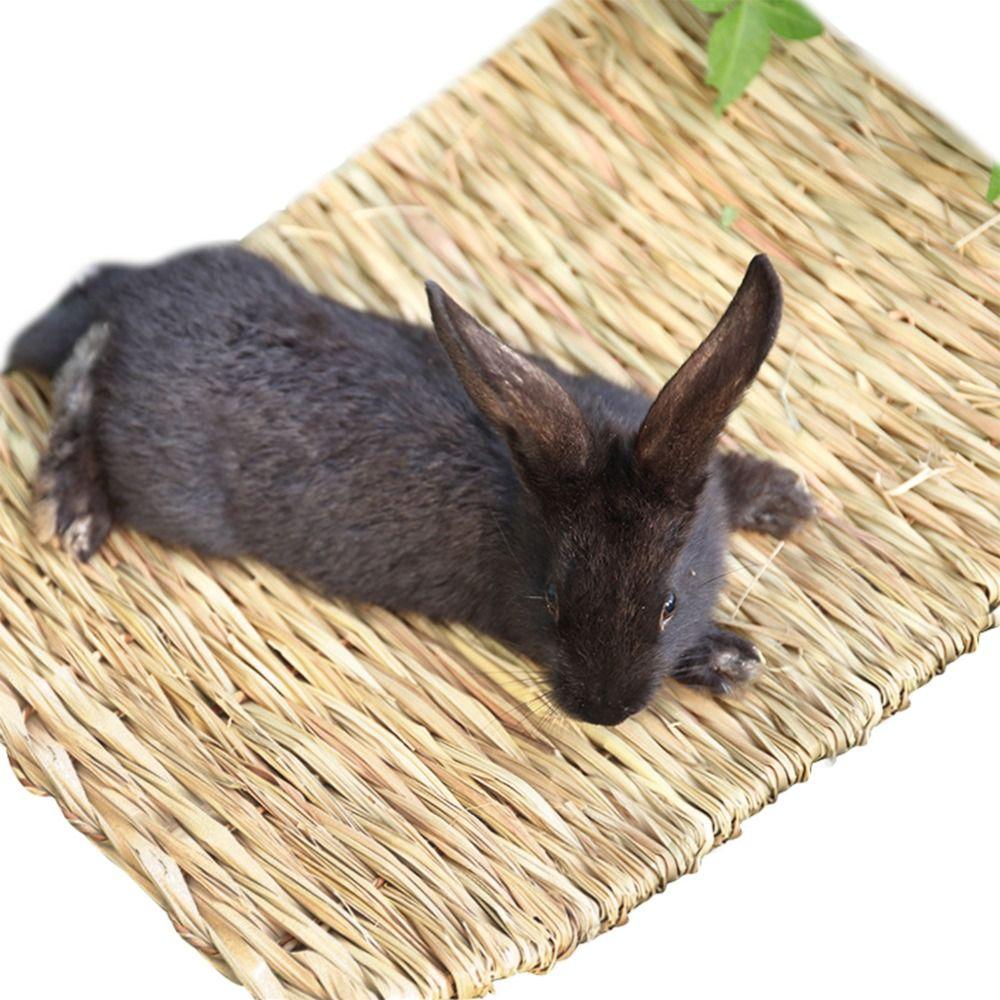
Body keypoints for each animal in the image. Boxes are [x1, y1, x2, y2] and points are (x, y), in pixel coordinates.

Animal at [6, 245, 814, 725]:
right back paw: (72, 510)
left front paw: (784, 498)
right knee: (82, 366)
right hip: (159, 480)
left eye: (668, 602)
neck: (527, 516)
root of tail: (133, 295)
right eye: (554, 601)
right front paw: (731, 657)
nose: (602, 712)